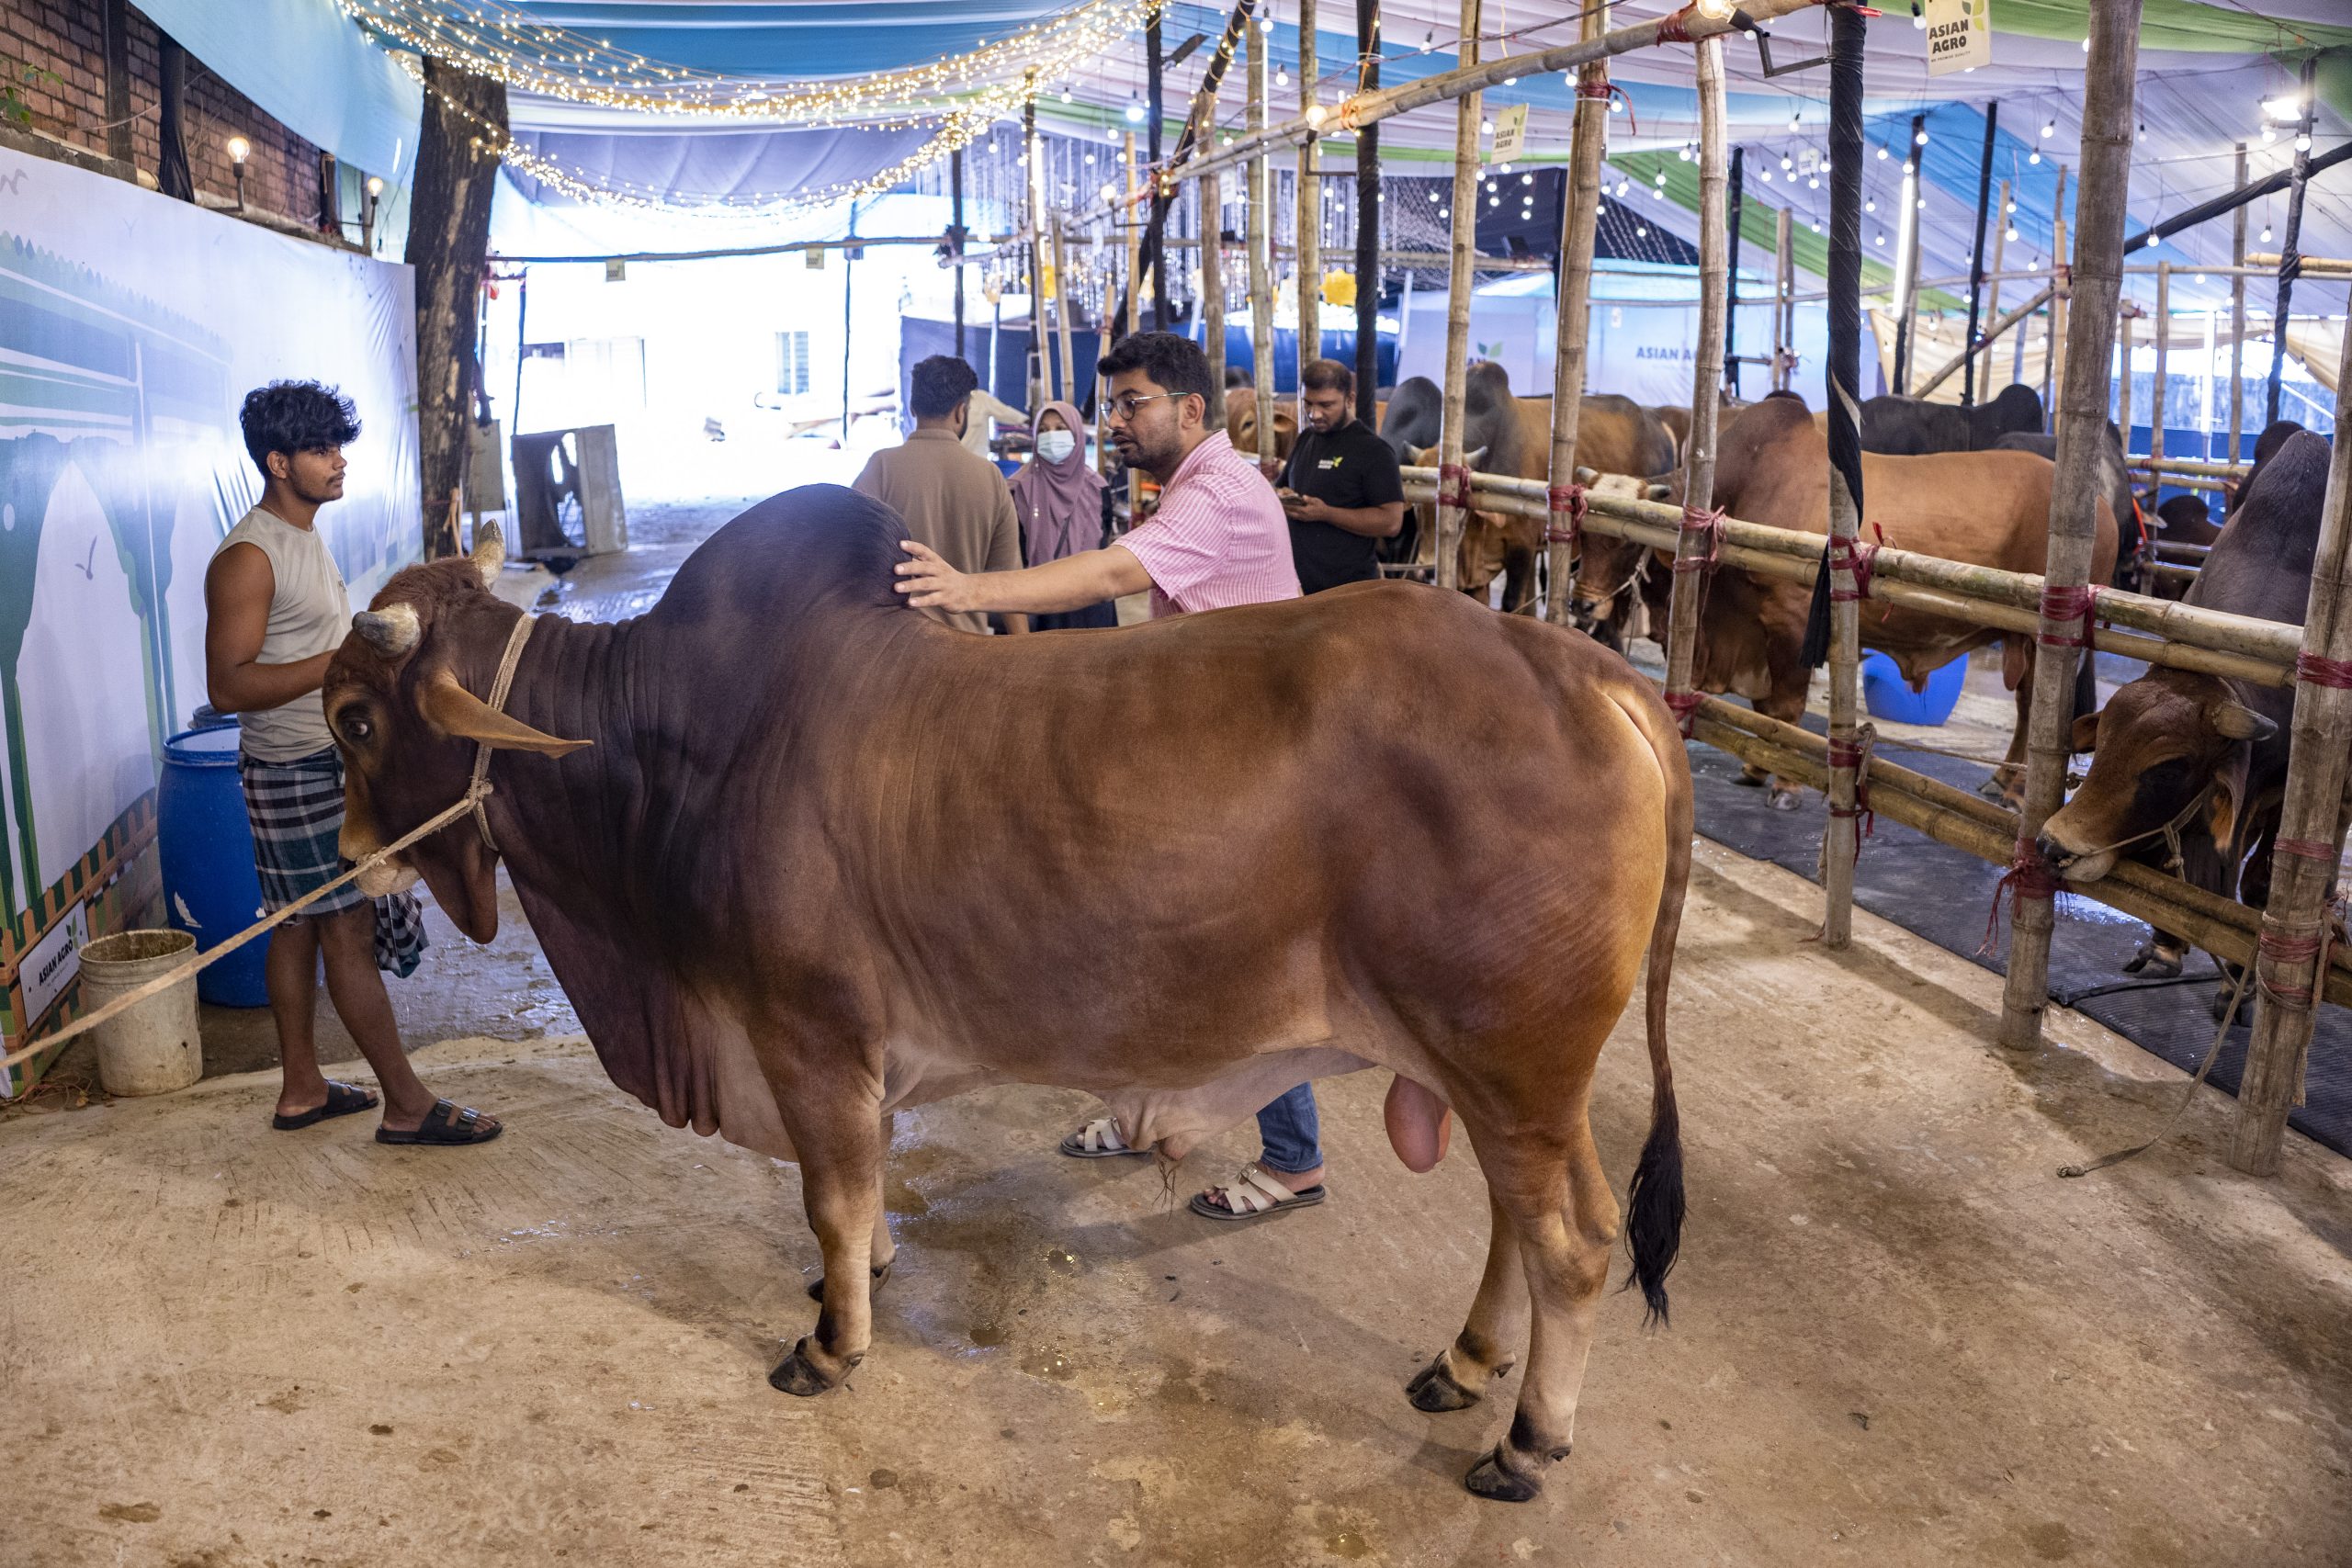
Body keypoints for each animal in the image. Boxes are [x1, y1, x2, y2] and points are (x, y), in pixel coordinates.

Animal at [323, 491, 1695, 1504]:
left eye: (350, 719)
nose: (346, 858)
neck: (665, 749)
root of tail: (1588, 669)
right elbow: (859, 1189)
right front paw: (857, 1281)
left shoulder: (809, 1033)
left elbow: (830, 1193)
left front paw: (833, 1342)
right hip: (1492, 1076)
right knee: (1517, 1223)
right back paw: (1463, 1364)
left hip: (1514, 1066)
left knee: (1574, 1241)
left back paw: (1523, 1441)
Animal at [1574, 395, 2116, 807]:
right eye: (1583, 535)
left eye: (1625, 541)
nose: (1582, 605)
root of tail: (2103, 509)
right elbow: (1764, 708)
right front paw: (1754, 768)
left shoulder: (1789, 622)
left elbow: (1785, 710)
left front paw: (1785, 786)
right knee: (2027, 708)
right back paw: (2002, 779)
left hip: (2042, 641)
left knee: (2033, 711)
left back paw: (2017, 787)